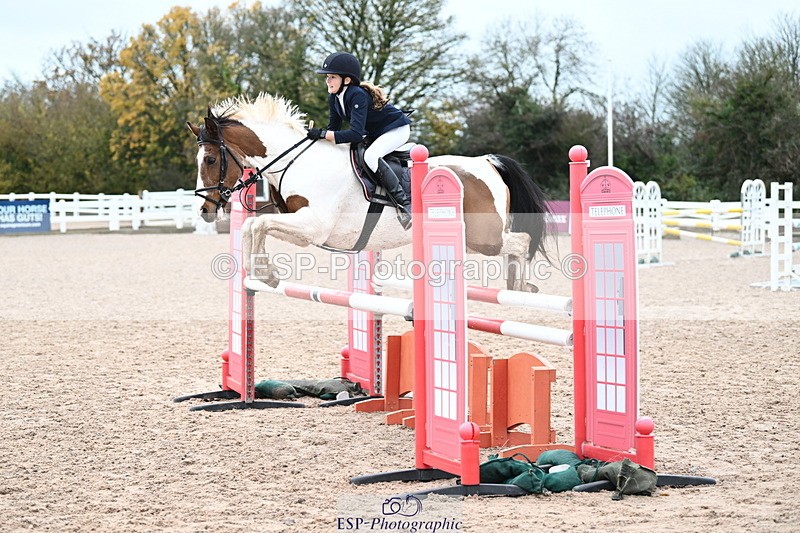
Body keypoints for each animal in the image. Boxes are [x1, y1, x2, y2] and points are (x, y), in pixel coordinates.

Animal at [187, 93, 553, 292]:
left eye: (210, 159)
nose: (205, 210)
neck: (297, 160)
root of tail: (487, 163)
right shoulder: (295, 221)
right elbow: (252, 226)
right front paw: (264, 274)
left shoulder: (313, 226)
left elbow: (257, 224)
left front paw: (267, 273)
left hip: (482, 238)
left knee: (519, 242)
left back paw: (520, 286)